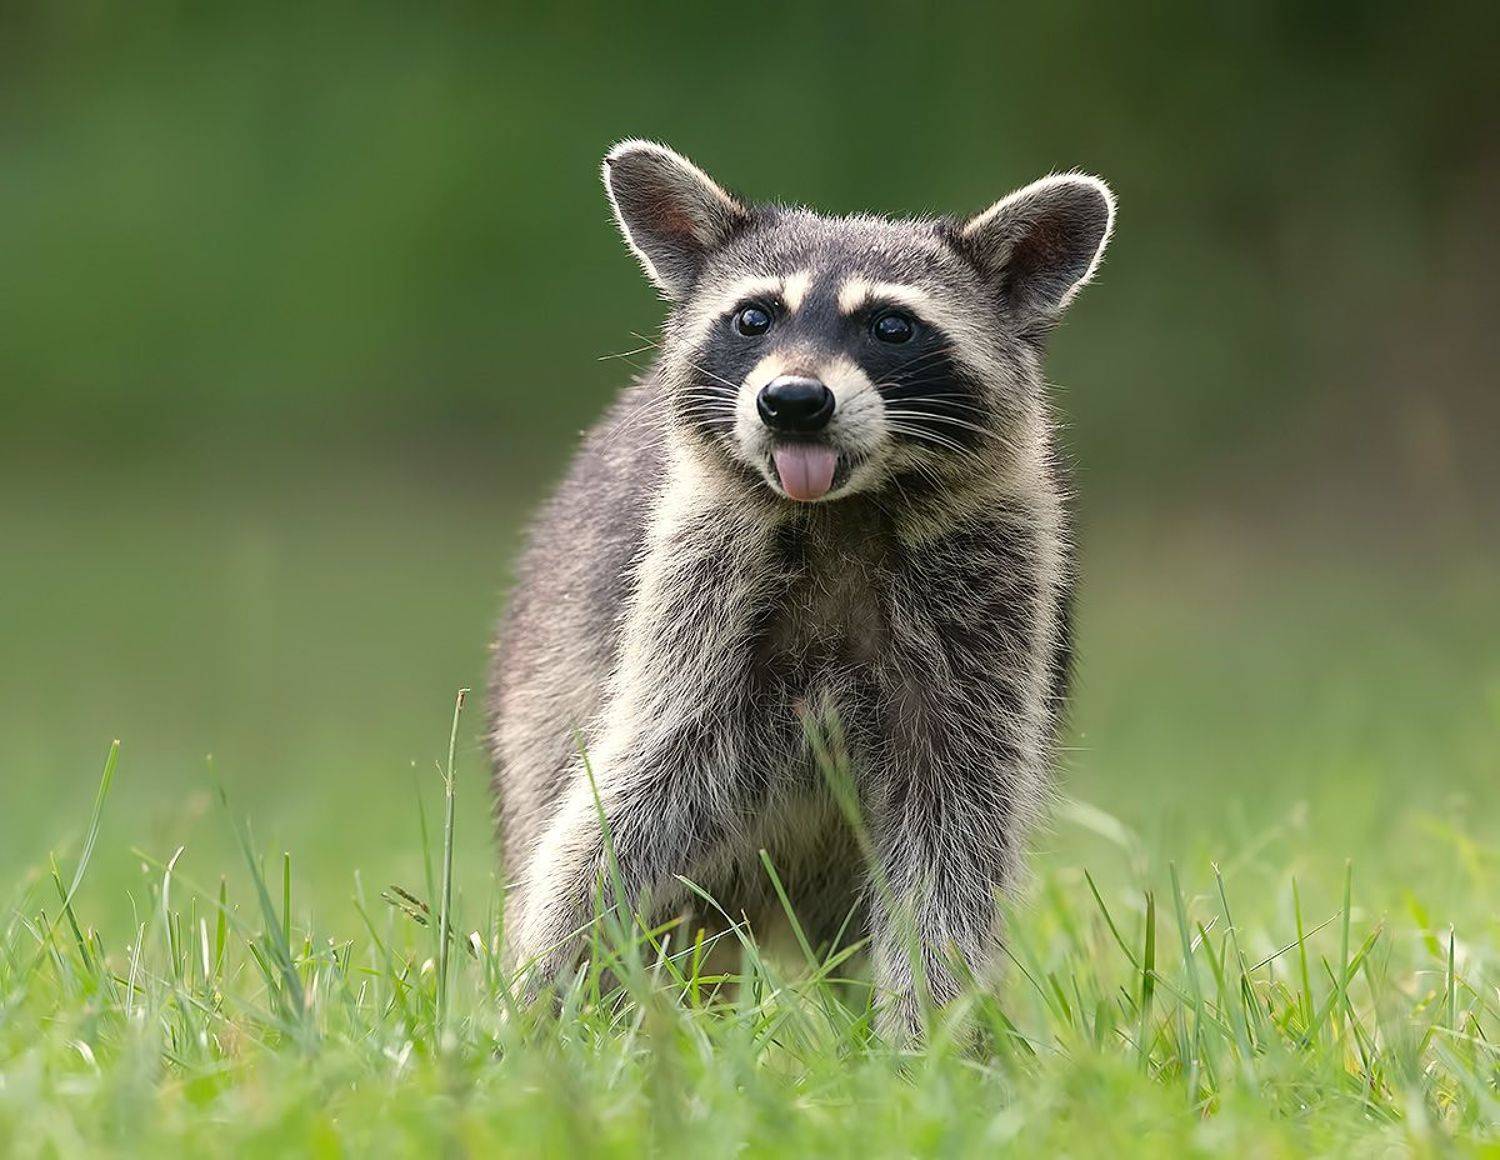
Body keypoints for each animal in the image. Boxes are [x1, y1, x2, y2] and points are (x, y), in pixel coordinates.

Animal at [488, 140, 1114, 1037]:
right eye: (754, 318)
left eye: (892, 326)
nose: (792, 402)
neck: (843, 513)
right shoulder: (699, 597)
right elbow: (622, 802)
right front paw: (549, 991)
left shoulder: (992, 606)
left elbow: (954, 843)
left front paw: (929, 1036)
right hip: (542, 684)